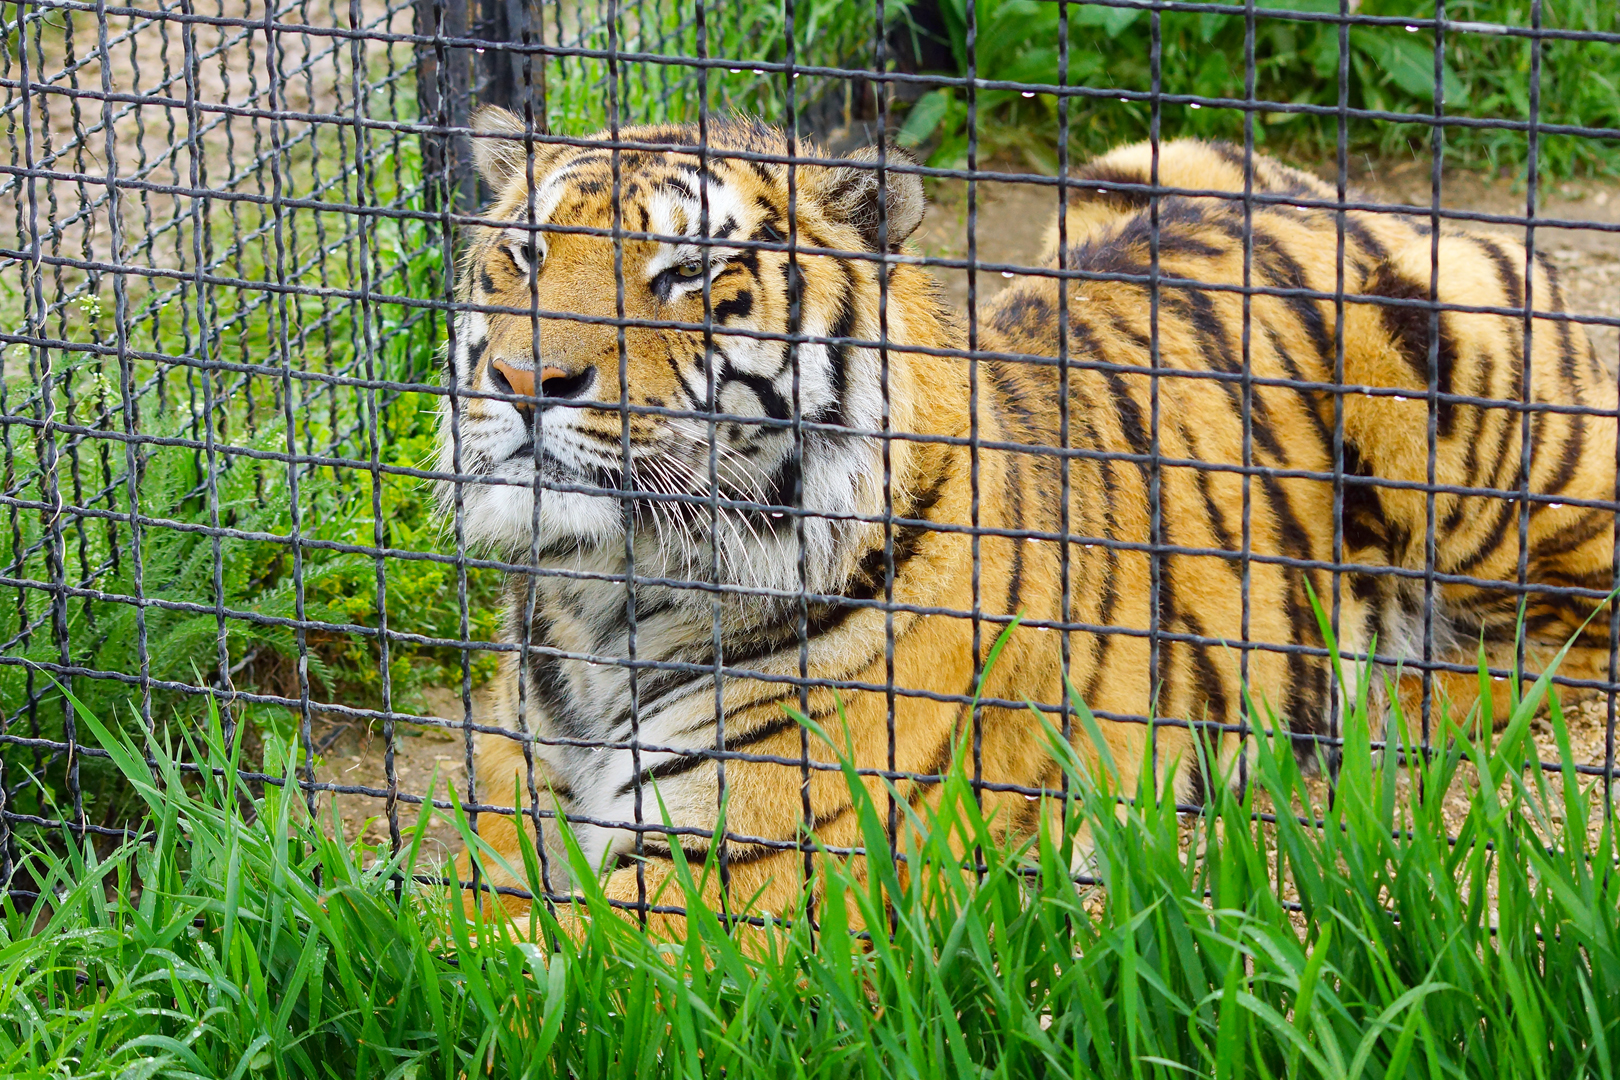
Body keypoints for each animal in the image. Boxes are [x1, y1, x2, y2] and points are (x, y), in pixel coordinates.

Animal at [437, 103, 1613, 939]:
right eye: (526, 256)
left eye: (687, 272)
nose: (524, 378)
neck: (609, 592)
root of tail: (1354, 203)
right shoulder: (504, 826)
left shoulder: (731, 886)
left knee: (1560, 644)